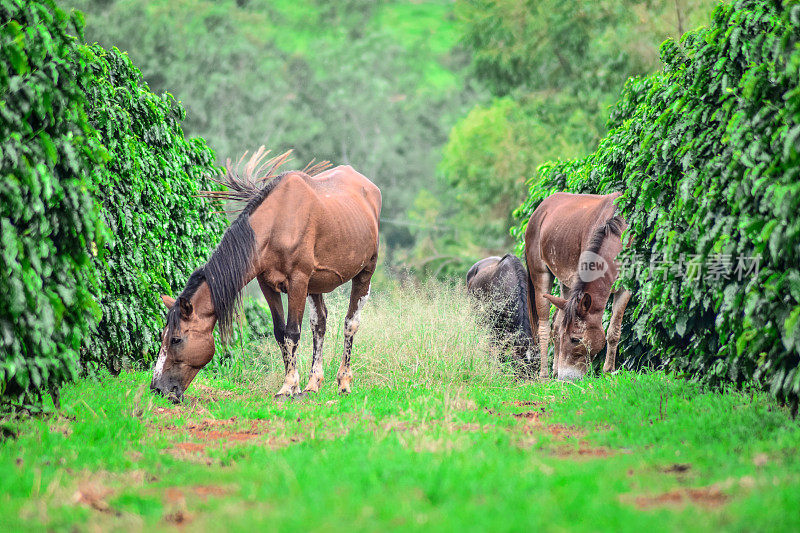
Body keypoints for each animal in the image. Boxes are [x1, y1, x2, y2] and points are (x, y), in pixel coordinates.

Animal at [155, 147, 386, 400]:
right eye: (162, 336)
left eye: (176, 339)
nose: (157, 388)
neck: (277, 225)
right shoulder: (267, 285)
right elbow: (280, 332)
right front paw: (294, 386)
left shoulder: (298, 282)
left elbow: (292, 333)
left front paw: (289, 386)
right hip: (315, 285)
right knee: (320, 325)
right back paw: (313, 383)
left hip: (365, 273)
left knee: (350, 323)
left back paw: (344, 382)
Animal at [524, 193, 632, 380]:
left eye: (575, 339)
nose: (565, 379)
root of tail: (541, 208)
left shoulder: (626, 288)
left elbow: (614, 331)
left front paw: (608, 372)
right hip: (541, 276)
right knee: (544, 327)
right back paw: (544, 375)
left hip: (565, 284)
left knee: (556, 324)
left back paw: (554, 371)